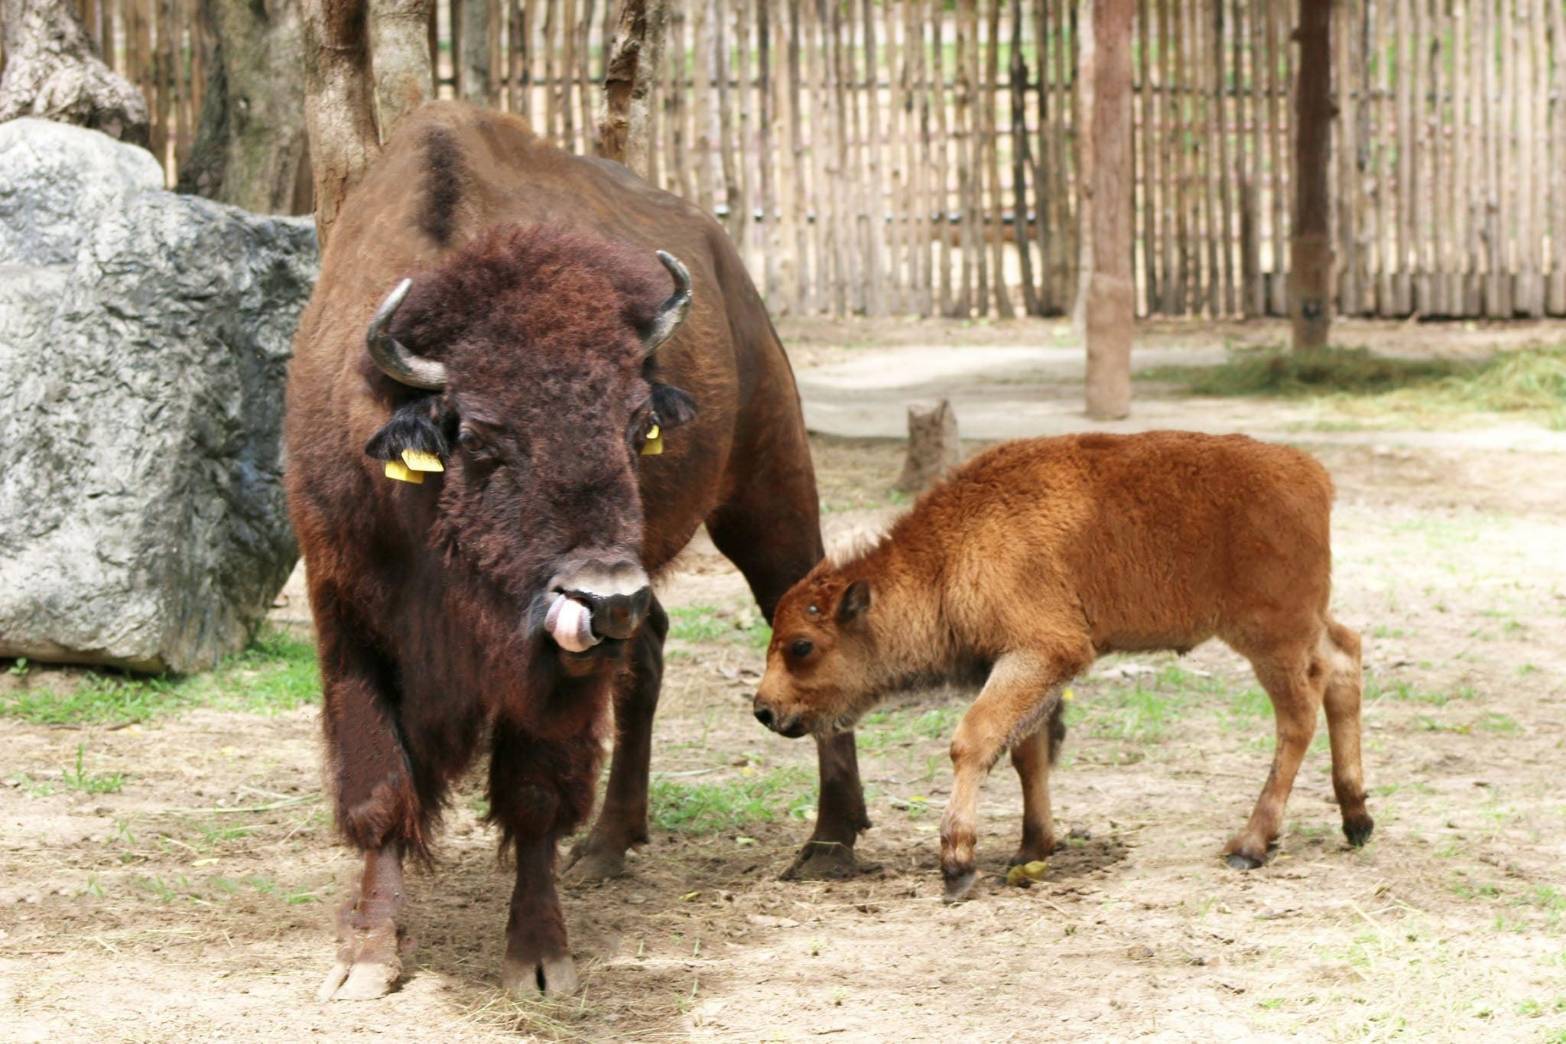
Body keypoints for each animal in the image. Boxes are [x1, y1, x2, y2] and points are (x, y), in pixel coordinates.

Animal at [281, 101, 870, 1001]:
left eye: (637, 426)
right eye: (481, 438)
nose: (605, 596)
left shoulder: (553, 674)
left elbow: (533, 793)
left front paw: (539, 959)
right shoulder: (346, 611)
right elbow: (378, 785)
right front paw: (365, 958)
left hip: (768, 494)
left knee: (802, 614)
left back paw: (830, 842)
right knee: (650, 658)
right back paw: (607, 845)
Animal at [748, 428, 1371, 901]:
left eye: (801, 646)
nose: (764, 710)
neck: (948, 555)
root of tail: (1313, 475)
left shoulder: (1042, 652)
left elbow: (972, 740)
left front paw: (957, 864)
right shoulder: (1026, 667)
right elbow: (1028, 753)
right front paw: (1030, 848)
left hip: (1270, 640)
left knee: (1298, 715)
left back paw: (1250, 845)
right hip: (1304, 627)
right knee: (1344, 660)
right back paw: (1356, 819)